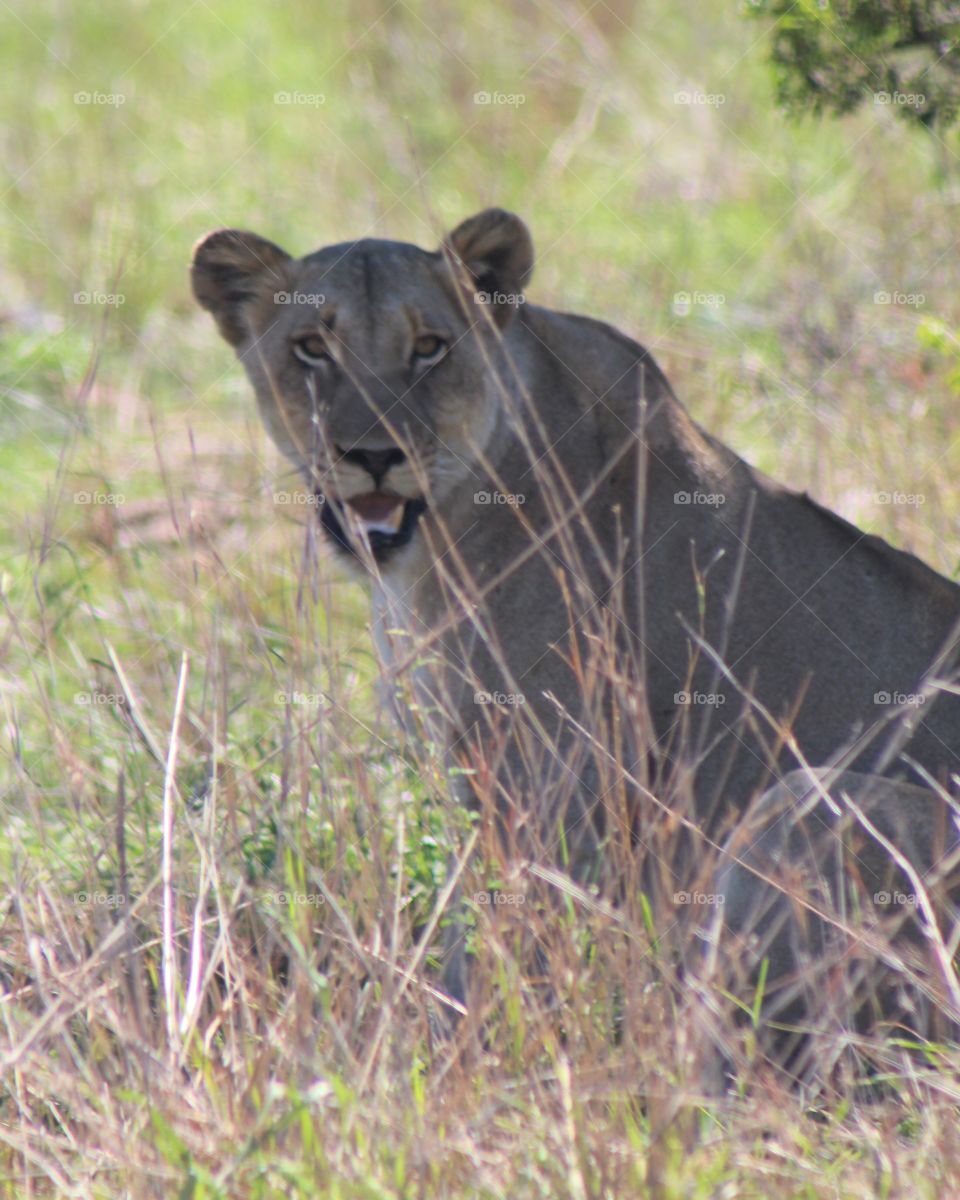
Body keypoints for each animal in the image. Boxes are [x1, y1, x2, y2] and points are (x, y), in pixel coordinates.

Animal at [192, 208, 960, 1087]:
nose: (376, 455)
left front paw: (448, 1063)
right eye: (312, 348)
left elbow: (498, 935)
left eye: (431, 347)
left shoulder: (562, 771)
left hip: (812, 805)